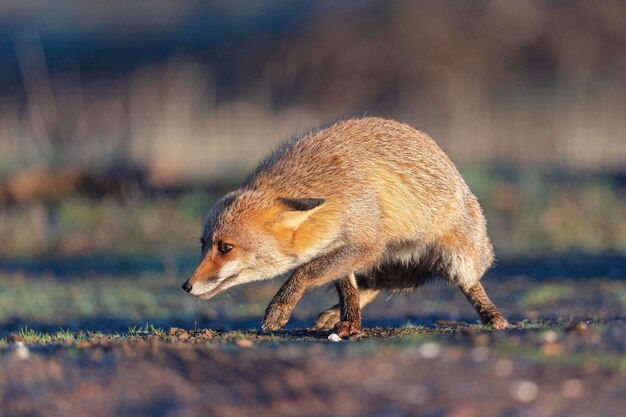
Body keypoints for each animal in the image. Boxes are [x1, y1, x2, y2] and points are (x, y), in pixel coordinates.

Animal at [182, 117, 508, 338]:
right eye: (203, 245)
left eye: (225, 248)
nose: (186, 286)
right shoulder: (342, 247)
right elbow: (345, 288)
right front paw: (349, 321)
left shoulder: (365, 243)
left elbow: (304, 271)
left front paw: (279, 308)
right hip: (389, 266)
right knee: (372, 287)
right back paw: (334, 316)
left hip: (454, 258)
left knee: (469, 283)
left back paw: (493, 316)